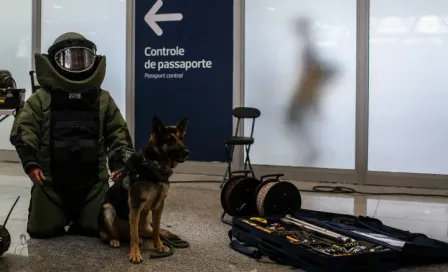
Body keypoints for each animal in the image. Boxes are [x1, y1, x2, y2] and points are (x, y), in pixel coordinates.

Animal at [99, 116, 188, 264]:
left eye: (181, 137)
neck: (154, 165)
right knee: (120, 234)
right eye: (169, 139)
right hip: (107, 209)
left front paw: (159, 246)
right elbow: (134, 236)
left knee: (149, 232)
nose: (187, 152)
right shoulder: (135, 206)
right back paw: (114, 240)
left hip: (148, 221)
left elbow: (157, 230)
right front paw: (135, 254)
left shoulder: (158, 206)